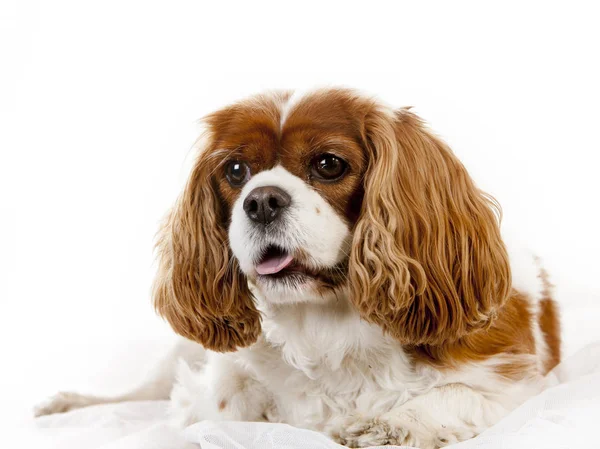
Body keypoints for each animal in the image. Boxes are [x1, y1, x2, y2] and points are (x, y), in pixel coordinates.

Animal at [35, 88, 560, 448]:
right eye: (235, 171)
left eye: (328, 164)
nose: (261, 201)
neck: (328, 321)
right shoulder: (217, 378)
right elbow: (218, 403)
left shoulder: (515, 380)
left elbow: (452, 397)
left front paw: (385, 424)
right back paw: (65, 404)